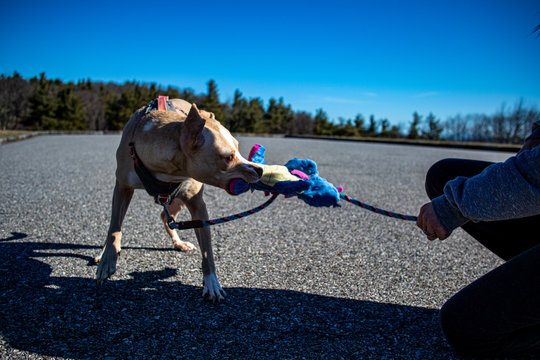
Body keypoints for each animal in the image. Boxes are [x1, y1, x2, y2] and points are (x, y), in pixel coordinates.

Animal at [95, 97, 264, 300]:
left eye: (238, 148)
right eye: (229, 157)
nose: (260, 170)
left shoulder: (197, 205)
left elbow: (207, 251)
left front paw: (212, 283)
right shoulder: (122, 187)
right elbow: (114, 227)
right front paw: (107, 259)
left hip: (179, 198)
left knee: (166, 217)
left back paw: (178, 242)